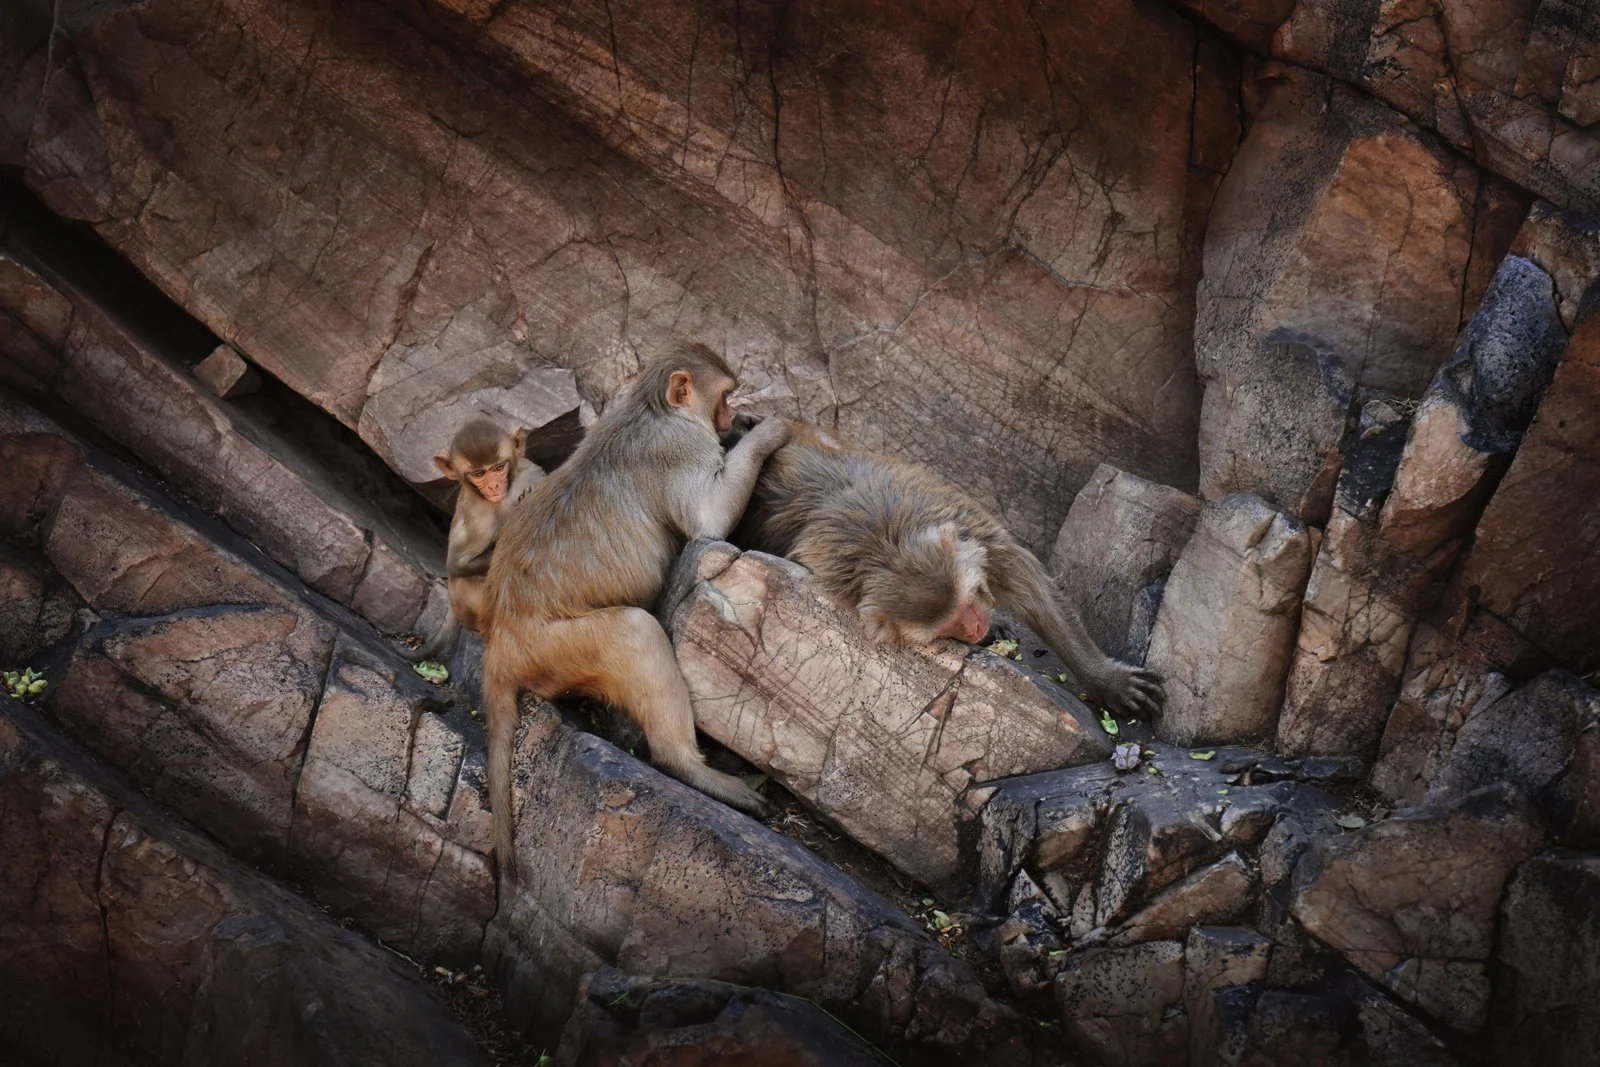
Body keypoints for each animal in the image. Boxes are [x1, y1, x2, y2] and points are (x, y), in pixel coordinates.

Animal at [407, 418, 543, 662]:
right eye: (479, 474)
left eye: (498, 468)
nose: (494, 486)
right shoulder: (478, 520)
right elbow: (457, 565)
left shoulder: (531, 471)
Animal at [478, 342, 791, 876]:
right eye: (725, 396)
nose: (730, 418)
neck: (649, 407)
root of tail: (499, 644)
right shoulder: (682, 445)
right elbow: (709, 519)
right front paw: (771, 430)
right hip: (556, 650)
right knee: (635, 630)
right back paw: (686, 765)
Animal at [731, 422, 1165, 717]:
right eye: (950, 625)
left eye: (968, 601)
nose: (974, 627)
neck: (885, 543)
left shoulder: (977, 532)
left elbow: (1035, 591)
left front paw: (1107, 681)